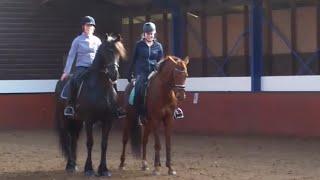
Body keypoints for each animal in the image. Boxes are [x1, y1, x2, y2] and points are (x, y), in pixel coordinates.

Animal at [54, 34, 125, 177]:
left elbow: (104, 144)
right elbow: (90, 143)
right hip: (65, 119)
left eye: (118, 53)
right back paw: (70, 165)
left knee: (74, 138)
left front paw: (104, 170)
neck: (100, 87)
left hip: (77, 121)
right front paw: (89, 169)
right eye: (107, 51)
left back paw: (74, 165)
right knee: (68, 138)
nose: (114, 74)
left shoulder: (108, 120)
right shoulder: (89, 120)